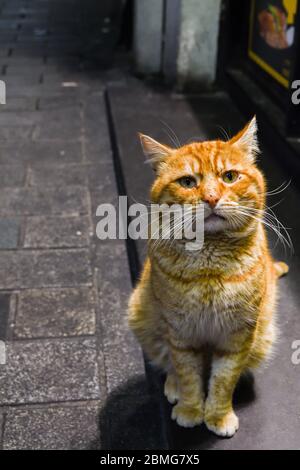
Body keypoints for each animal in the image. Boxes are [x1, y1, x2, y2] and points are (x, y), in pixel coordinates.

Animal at [128, 117, 288, 436]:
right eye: (188, 182)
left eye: (230, 176)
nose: (211, 198)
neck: (210, 266)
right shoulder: (180, 332)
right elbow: (187, 374)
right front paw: (190, 409)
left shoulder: (238, 335)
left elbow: (223, 380)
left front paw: (218, 414)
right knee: (169, 364)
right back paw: (174, 387)